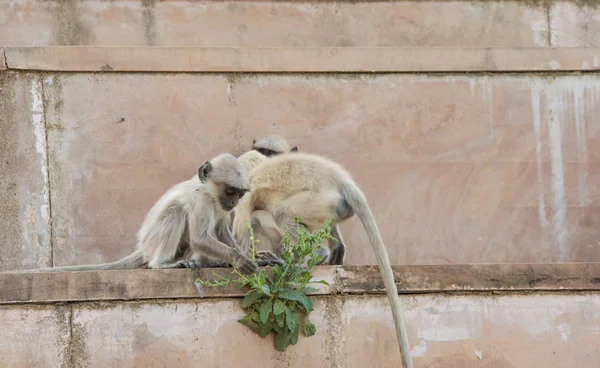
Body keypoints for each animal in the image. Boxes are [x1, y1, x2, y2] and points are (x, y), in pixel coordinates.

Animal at [233, 152, 412, 368]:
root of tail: (341, 178)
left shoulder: (243, 199)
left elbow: (241, 232)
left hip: (320, 200)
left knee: (281, 213)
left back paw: (308, 258)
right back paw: (331, 252)